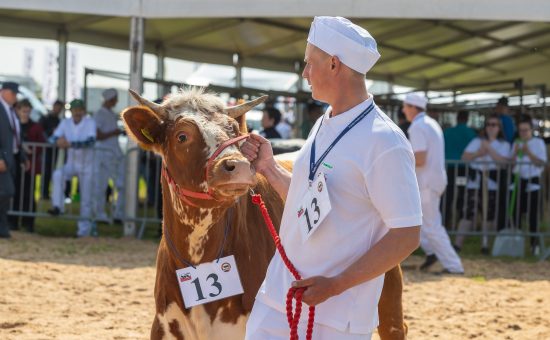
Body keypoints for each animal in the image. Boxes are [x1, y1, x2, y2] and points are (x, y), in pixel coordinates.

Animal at [123, 88, 408, 340]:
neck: (199, 257)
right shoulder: (164, 325)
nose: (238, 166)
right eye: (182, 136)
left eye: (234, 131)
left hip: (388, 290)